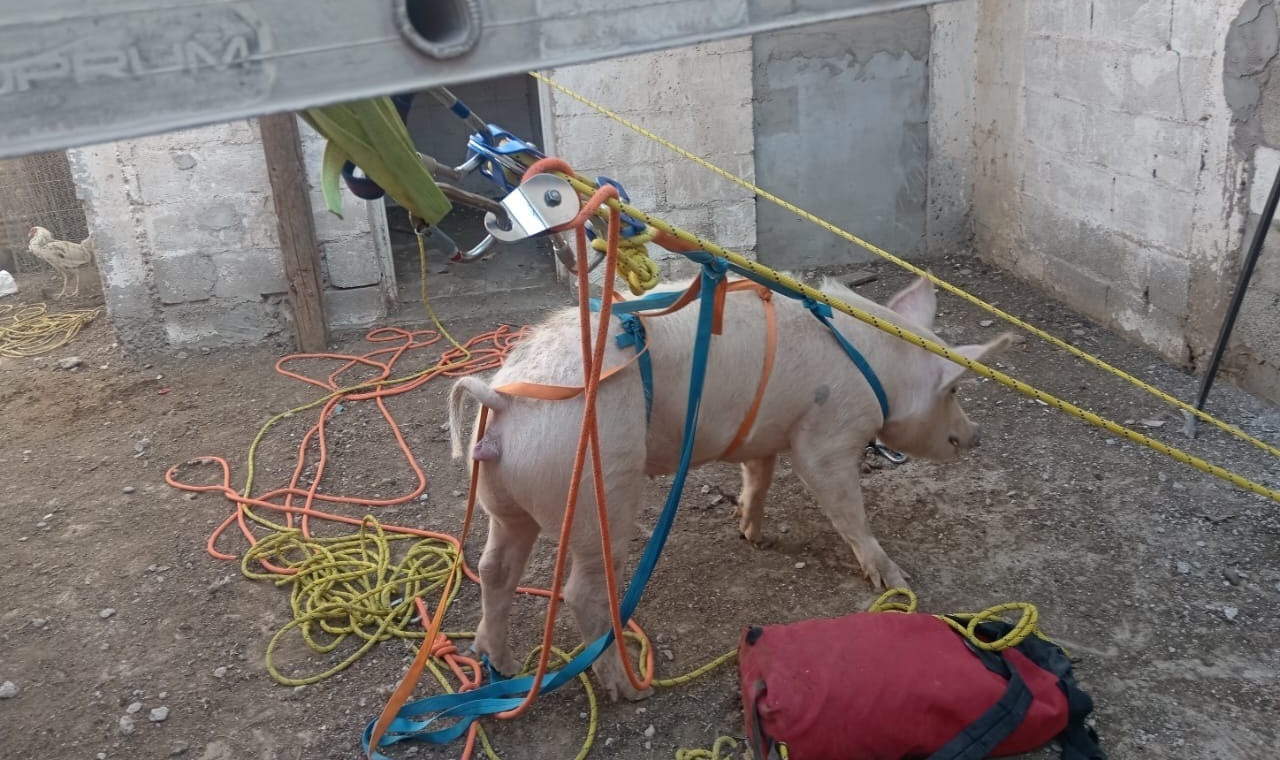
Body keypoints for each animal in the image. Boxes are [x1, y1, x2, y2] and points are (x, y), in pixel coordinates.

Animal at [448, 271, 1008, 696]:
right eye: (953, 390)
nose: (977, 435)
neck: (879, 367)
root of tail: (502, 400)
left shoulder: (763, 432)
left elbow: (759, 476)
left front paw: (751, 534)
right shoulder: (828, 430)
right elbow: (841, 501)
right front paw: (898, 581)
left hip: (503, 495)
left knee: (494, 567)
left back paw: (502, 664)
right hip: (593, 488)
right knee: (581, 590)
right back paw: (631, 690)